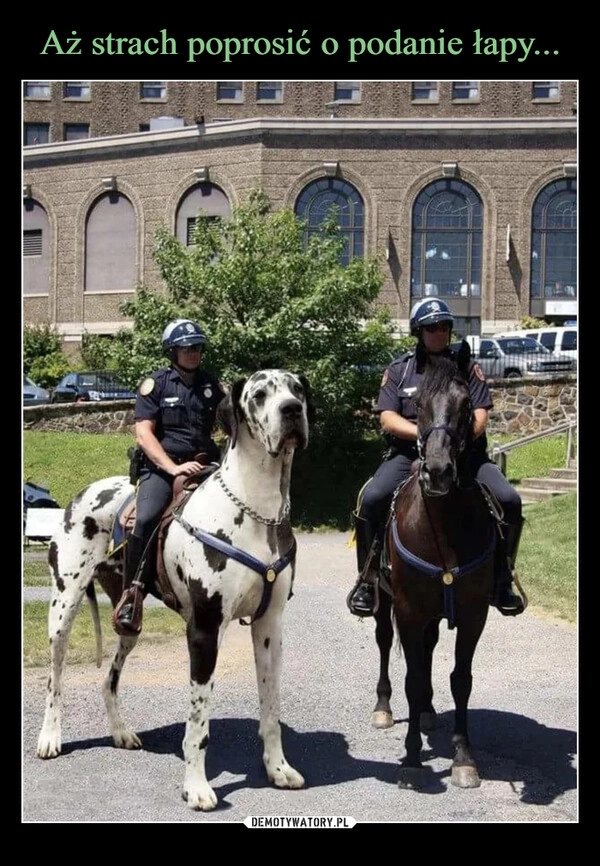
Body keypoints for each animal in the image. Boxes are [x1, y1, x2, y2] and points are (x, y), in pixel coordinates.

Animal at [34, 366, 314, 808]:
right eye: (259, 394)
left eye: (297, 390)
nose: (291, 410)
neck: (256, 509)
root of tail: (82, 493)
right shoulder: (203, 630)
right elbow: (198, 722)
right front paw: (196, 787)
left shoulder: (270, 627)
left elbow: (270, 707)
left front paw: (278, 769)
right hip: (63, 609)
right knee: (54, 679)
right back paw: (50, 737)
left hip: (128, 622)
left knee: (109, 679)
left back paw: (121, 732)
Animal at [376, 340, 496, 788]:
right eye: (419, 404)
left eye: (466, 405)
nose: (439, 472)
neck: (442, 529)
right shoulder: (408, 609)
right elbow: (411, 679)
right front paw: (411, 759)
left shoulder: (474, 613)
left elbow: (460, 680)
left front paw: (463, 757)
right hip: (383, 602)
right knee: (385, 642)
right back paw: (384, 707)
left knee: (427, 651)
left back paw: (428, 712)